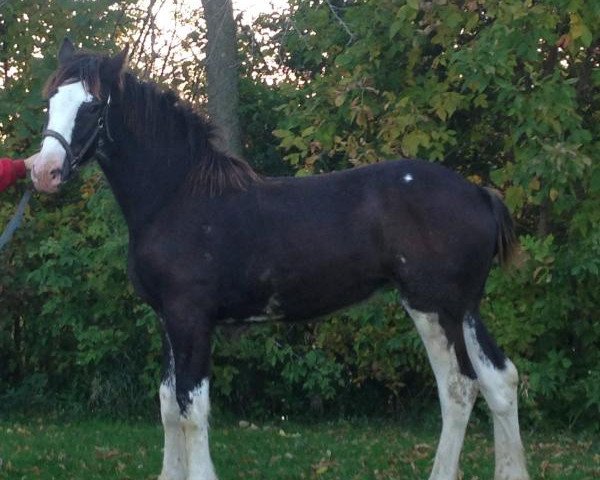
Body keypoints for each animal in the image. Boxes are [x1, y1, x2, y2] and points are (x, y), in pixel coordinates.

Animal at [31, 40, 528, 480]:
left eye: (92, 106)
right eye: (52, 101)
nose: (44, 172)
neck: (177, 197)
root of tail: (479, 195)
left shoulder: (191, 318)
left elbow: (193, 409)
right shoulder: (167, 321)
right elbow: (168, 403)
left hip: (432, 307)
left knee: (459, 387)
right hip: (465, 309)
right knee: (499, 379)